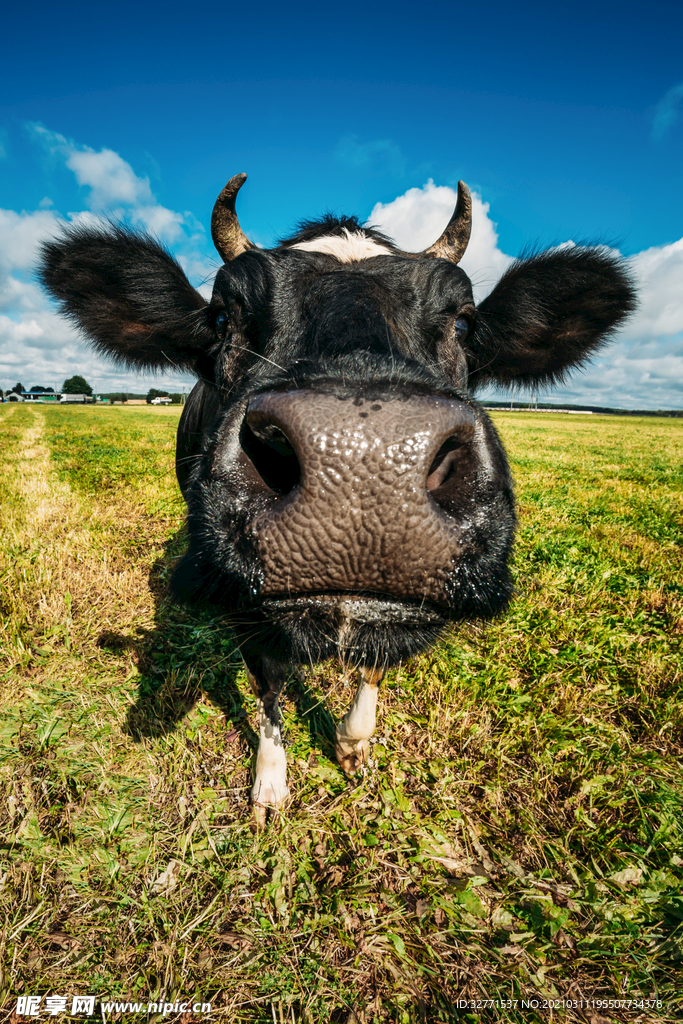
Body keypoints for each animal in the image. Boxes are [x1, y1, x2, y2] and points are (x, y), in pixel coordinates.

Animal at [38, 174, 634, 823]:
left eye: (463, 323)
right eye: (223, 317)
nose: (362, 460)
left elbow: (373, 664)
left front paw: (352, 745)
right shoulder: (245, 603)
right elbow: (270, 683)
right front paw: (270, 784)